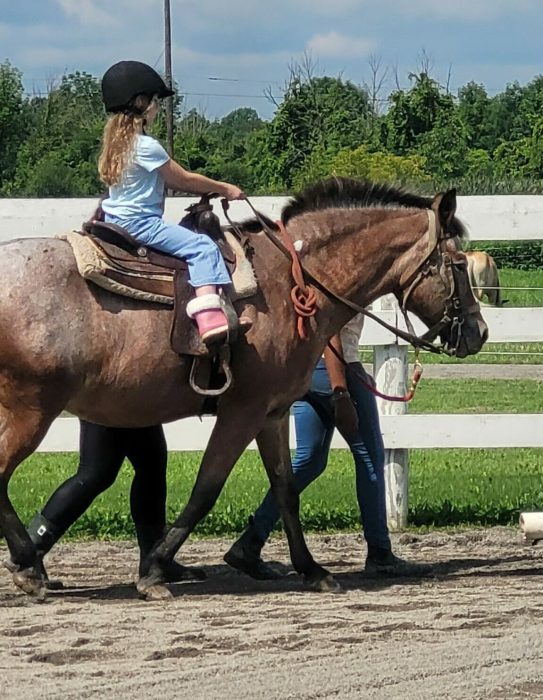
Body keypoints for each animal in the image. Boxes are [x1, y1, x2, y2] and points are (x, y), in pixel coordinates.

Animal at [0, 178, 488, 600]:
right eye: (458, 263)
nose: (479, 332)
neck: (292, 281)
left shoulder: (272, 414)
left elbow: (286, 489)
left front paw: (311, 570)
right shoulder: (243, 411)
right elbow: (206, 488)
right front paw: (154, 570)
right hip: (31, 410)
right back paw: (29, 567)